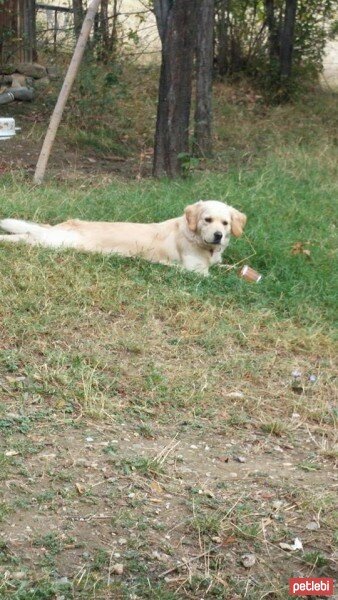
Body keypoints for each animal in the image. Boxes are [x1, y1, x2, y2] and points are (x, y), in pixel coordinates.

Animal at [1, 202, 247, 276]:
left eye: (225, 223)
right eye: (207, 220)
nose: (218, 236)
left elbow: (231, 267)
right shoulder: (197, 272)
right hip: (56, 243)